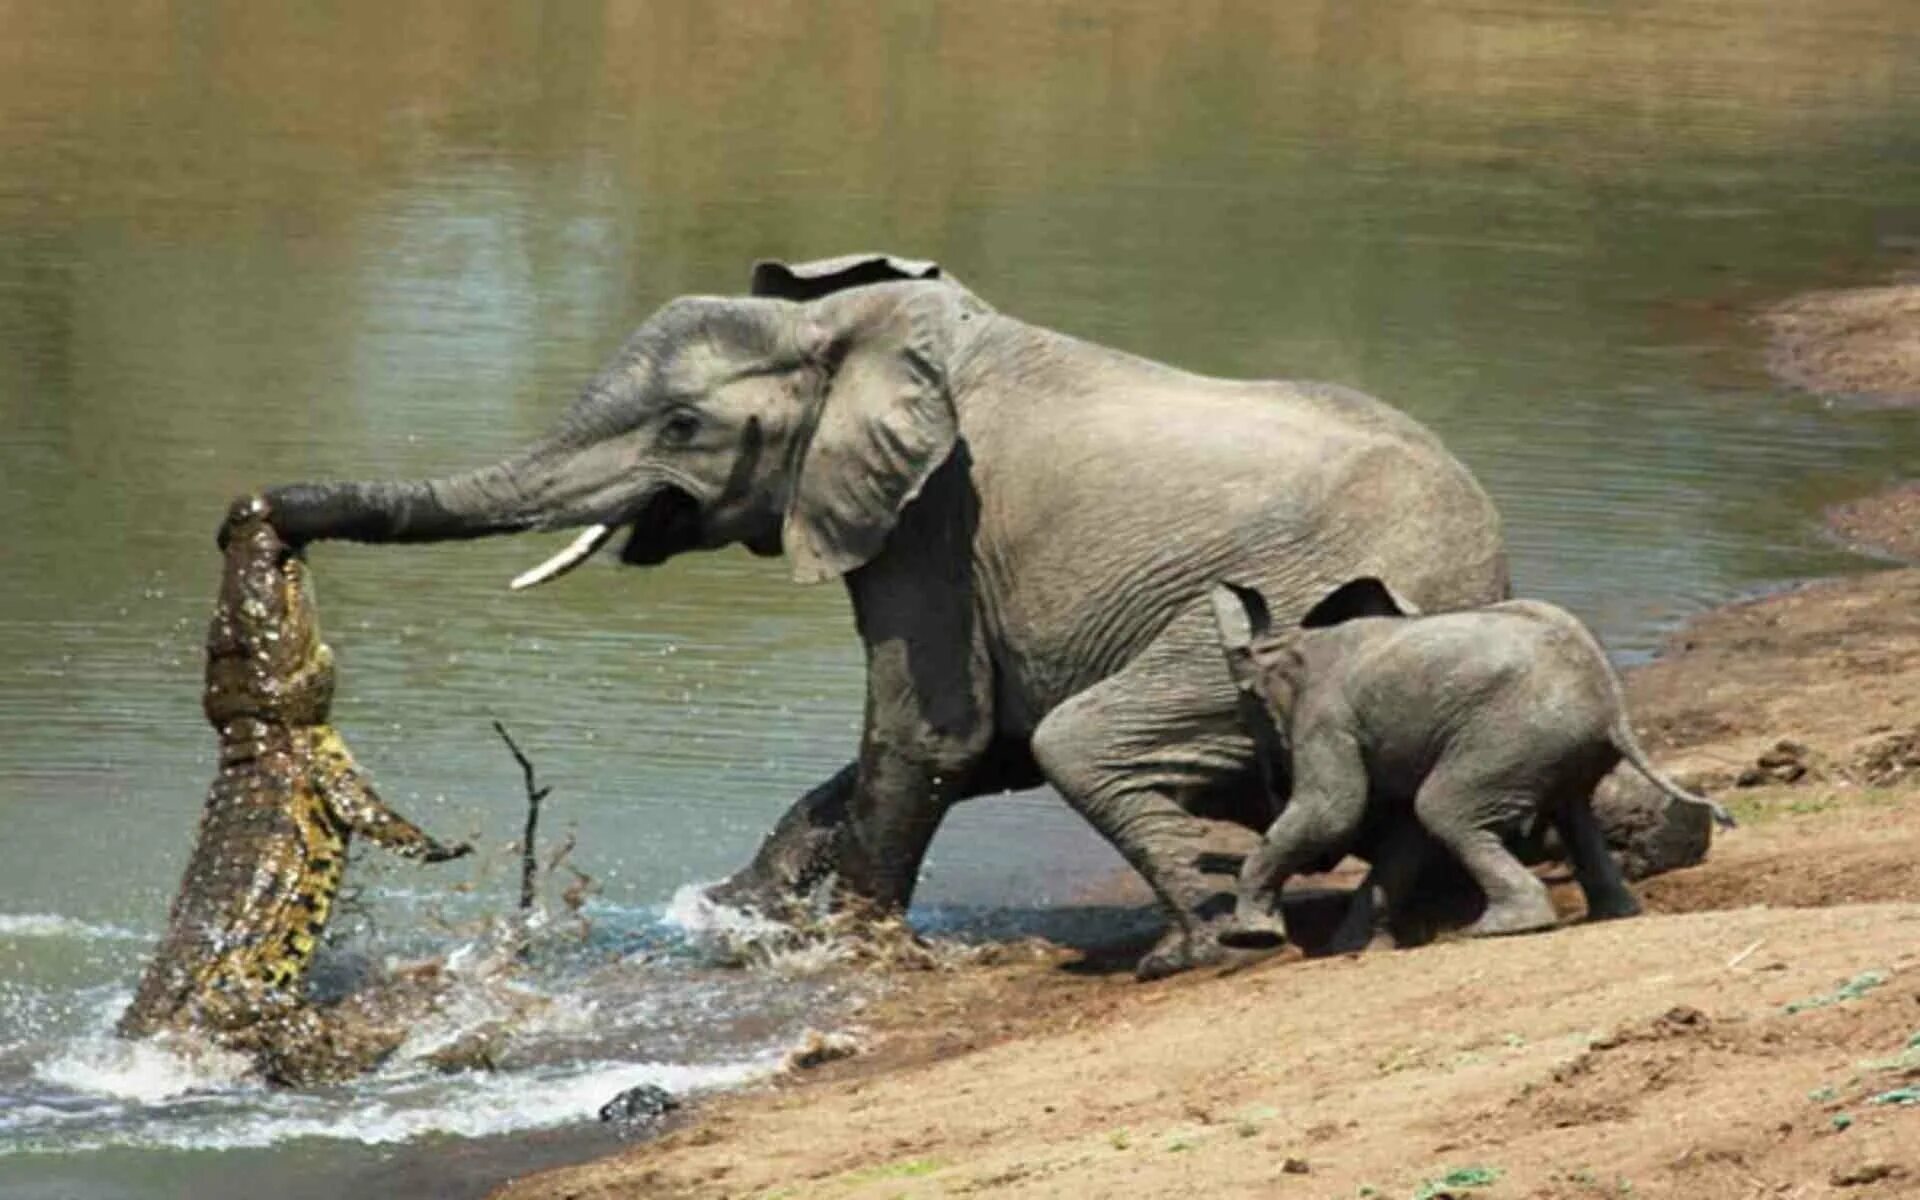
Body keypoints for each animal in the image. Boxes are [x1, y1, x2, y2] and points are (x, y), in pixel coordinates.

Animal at [247, 249, 1512, 975]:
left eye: (684, 429)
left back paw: (1201, 952)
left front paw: (836, 951)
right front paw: (735, 915)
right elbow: (969, 746)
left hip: (1291, 618)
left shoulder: (934, 517)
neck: (853, 330)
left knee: (1087, 741)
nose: (260, 517)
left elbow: (931, 733)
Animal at [1213, 576, 1743, 948]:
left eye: (1250, 711)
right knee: (1572, 814)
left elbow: (1334, 812)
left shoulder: (1327, 718)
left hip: (1511, 735)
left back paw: (1501, 929)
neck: (1288, 644)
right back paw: (1612, 915)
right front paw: (1349, 949)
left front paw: (1249, 937)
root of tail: (1614, 705)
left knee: (1444, 808)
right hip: (1551, 745)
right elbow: (1403, 835)